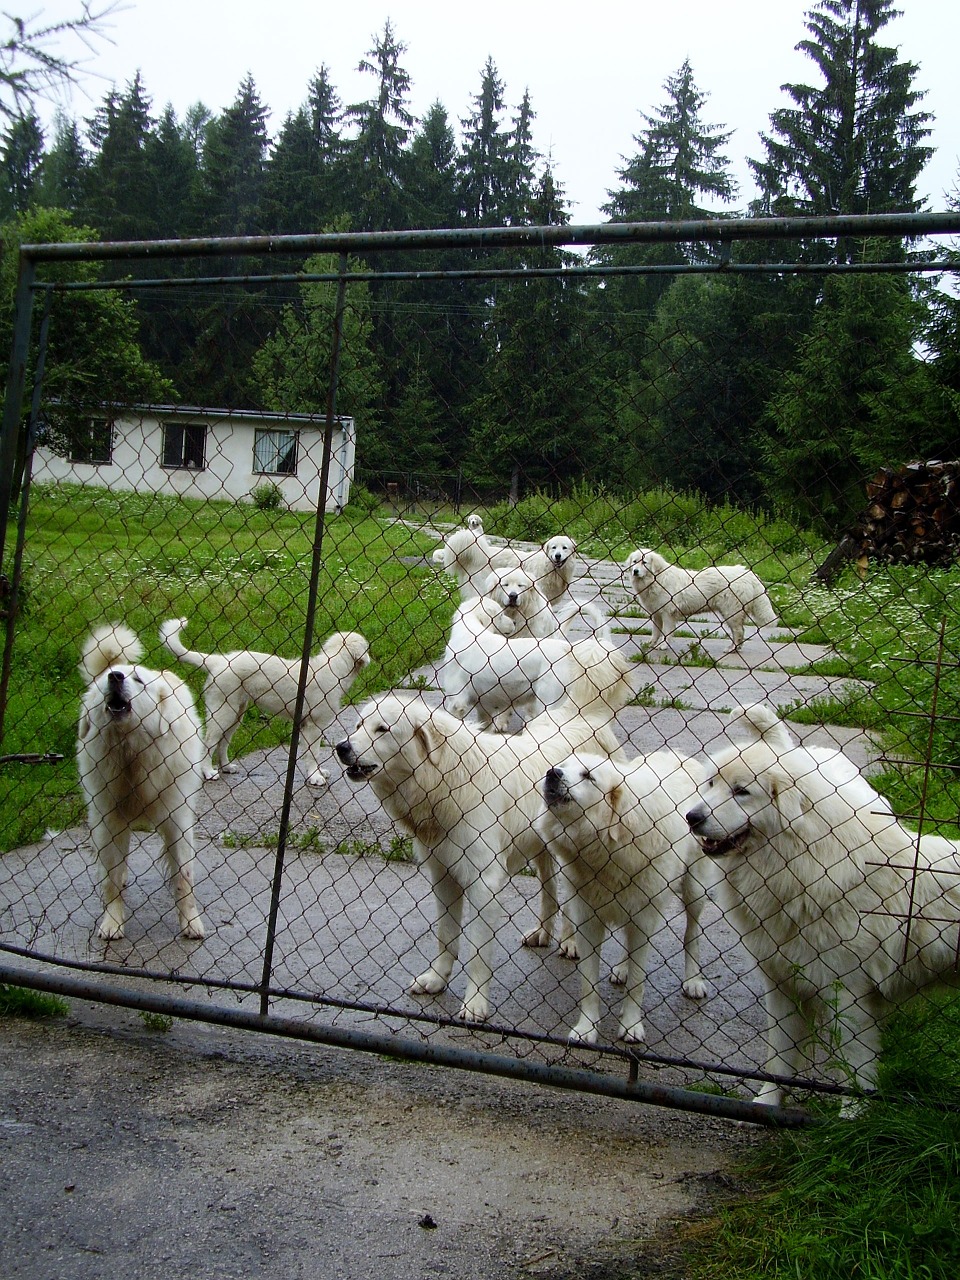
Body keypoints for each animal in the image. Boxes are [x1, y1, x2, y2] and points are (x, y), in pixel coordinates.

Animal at [77, 622, 207, 942]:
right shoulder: (109, 820)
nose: (114, 676)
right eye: (109, 680)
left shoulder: (177, 819)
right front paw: (112, 922)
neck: (131, 753)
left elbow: (184, 877)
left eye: (138, 680)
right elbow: (110, 879)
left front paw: (191, 922)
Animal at [337, 655, 640, 1024]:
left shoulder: (484, 883)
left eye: (381, 729)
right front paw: (436, 979)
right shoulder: (443, 875)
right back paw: (544, 933)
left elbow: (478, 951)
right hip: (541, 844)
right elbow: (446, 936)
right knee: (549, 888)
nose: (341, 747)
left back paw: (571, 941)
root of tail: (584, 716)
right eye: (358, 725)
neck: (444, 779)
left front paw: (475, 1004)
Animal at [537, 747, 716, 1039]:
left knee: (692, 934)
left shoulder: (644, 921)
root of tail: (678, 754)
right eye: (563, 765)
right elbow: (589, 984)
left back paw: (693, 980)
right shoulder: (589, 920)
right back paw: (621, 968)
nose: (552, 772)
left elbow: (637, 983)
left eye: (588, 776)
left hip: (694, 890)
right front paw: (586, 1028)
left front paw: (631, 1026)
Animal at [624, 547, 783, 655]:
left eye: (644, 562)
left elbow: (666, 633)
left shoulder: (667, 614)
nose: (635, 571)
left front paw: (663, 646)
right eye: (634, 562)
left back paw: (732, 649)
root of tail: (748, 573)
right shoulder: (656, 614)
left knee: (739, 632)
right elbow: (656, 632)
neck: (655, 579)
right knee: (738, 632)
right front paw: (651, 644)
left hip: (731, 612)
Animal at [686, 701, 960, 1111]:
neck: (799, 860)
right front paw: (768, 1103)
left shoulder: (848, 994)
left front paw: (854, 1114)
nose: (692, 817)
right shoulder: (782, 981)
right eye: (711, 784)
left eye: (741, 791)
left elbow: (856, 1065)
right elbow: (779, 1056)